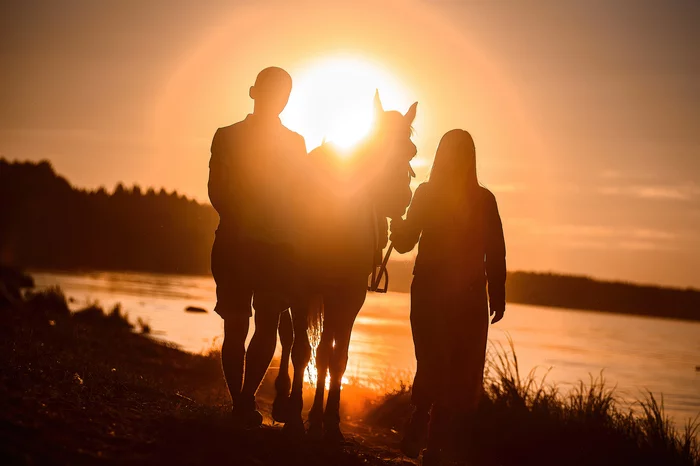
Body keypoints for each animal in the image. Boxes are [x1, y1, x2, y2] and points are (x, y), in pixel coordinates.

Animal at [272, 92, 416, 440]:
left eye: (411, 151)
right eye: (377, 144)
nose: (400, 199)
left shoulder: (350, 296)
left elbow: (336, 357)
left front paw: (329, 420)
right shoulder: (302, 290)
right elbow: (303, 351)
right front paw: (298, 417)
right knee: (288, 338)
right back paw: (282, 402)